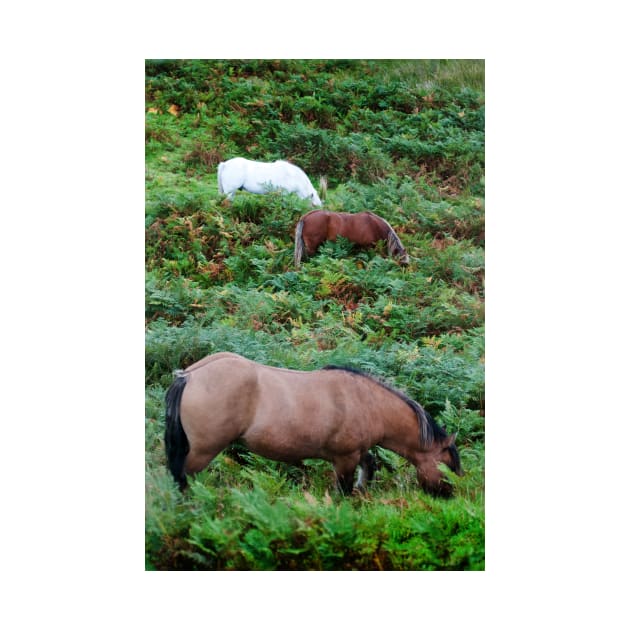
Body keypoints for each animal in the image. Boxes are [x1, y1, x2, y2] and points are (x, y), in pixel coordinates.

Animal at [165, 354, 462, 496]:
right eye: (447, 466)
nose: (449, 497)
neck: (367, 402)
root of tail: (189, 376)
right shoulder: (344, 458)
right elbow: (344, 491)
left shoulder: (356, 453)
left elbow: (368, 468)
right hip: (202, 451)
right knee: (182, 479)